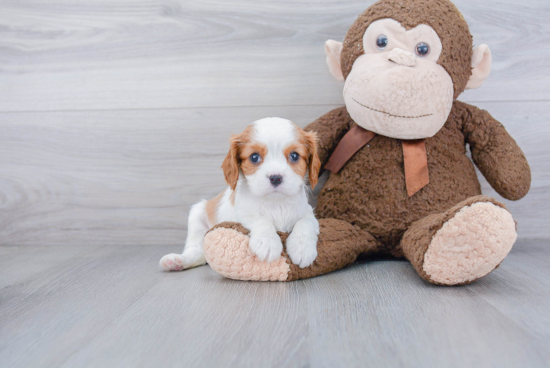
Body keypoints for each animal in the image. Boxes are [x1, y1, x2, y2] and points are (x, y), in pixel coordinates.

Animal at [160, 116, 322, 272]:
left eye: (294, 156)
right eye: (254, 157)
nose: (275, 177)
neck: (275, 203)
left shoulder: (307, 211)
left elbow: (305, 222)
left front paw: (302, 249)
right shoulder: (240, 213)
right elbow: (259, 219)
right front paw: (268, 242)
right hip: (197, 215)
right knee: (196, 250)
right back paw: (177, 261)